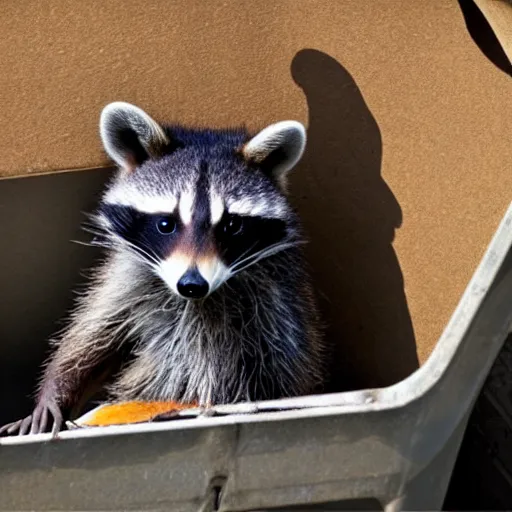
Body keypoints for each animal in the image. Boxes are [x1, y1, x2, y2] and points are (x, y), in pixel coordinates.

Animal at [0, 101, 324, 436]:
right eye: (166, 224)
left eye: (231, 226)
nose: (192, 284)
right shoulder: (127, 275)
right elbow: (93, 335)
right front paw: (57, 391)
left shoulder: (278, 294)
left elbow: (285, 360)